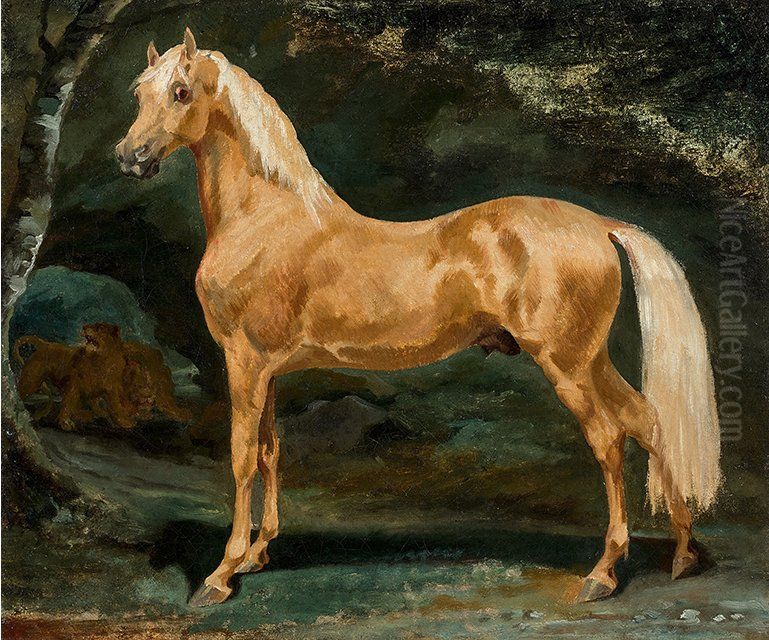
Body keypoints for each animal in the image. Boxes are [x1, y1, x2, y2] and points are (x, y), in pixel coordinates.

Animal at [116, 29, 720, 608]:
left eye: (181, 92)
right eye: (139, 94)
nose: (129, 155)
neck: (265, 218)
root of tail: (599, 224)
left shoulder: (244, 363)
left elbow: (242, 460)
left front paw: (222, 574)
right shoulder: (265, 371)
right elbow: (269, 453)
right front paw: (258, 554)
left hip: (568, 364)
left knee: (609, 438)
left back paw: (603, 573)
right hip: (591, 361)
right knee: (648, 420)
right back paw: (684, 552)